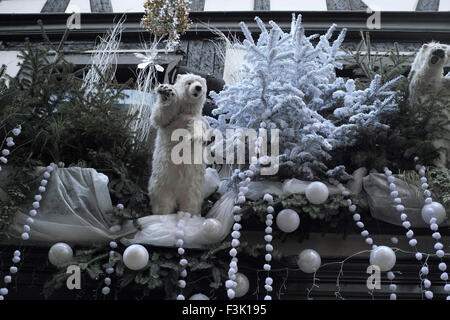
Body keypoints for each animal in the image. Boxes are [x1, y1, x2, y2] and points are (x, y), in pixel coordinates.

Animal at [149, 73, 210, 215]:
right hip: (162, 181)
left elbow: (198, 127)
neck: (186, 111)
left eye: (200, 83)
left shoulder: (196, 118)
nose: (198, 88)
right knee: (162, 201)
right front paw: (167, 92)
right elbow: (161, 117)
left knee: (191, 202)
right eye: (189, 82)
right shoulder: (172, 120)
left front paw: (198, 138)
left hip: (194, 186)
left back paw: (188, 214)